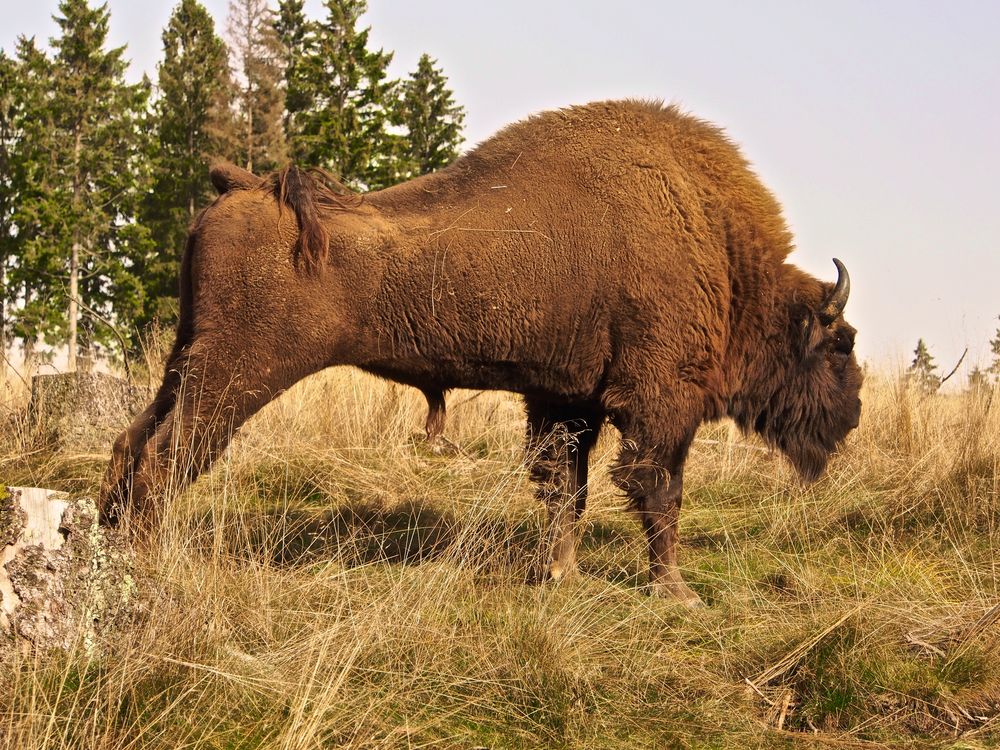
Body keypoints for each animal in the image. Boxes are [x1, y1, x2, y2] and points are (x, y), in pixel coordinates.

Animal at [103, 100, 868, 608]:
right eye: (839, 346)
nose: (854, 413)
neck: (728, 262)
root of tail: (246, 188)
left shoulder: (567, 402)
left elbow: (566, 490)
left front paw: (558, 574)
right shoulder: (658, 405)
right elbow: (659, 492)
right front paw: (675, 593)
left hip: (186, 361)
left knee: (130, 443)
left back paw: (110, 550)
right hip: (235, 376)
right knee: (167, 457)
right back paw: (146, 569)